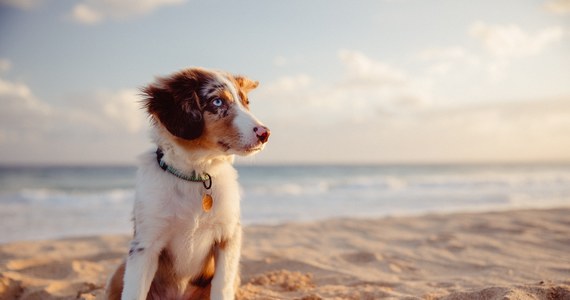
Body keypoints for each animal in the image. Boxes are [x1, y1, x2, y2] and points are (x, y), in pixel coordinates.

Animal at [107, 67, 270, 300]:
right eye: (218, 102)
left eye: (246, 102)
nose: (265, 133)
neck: (196, 175)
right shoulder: (146, 243)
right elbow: (134, 292)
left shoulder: (228, 236)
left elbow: (222, 287)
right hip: (118, 272)